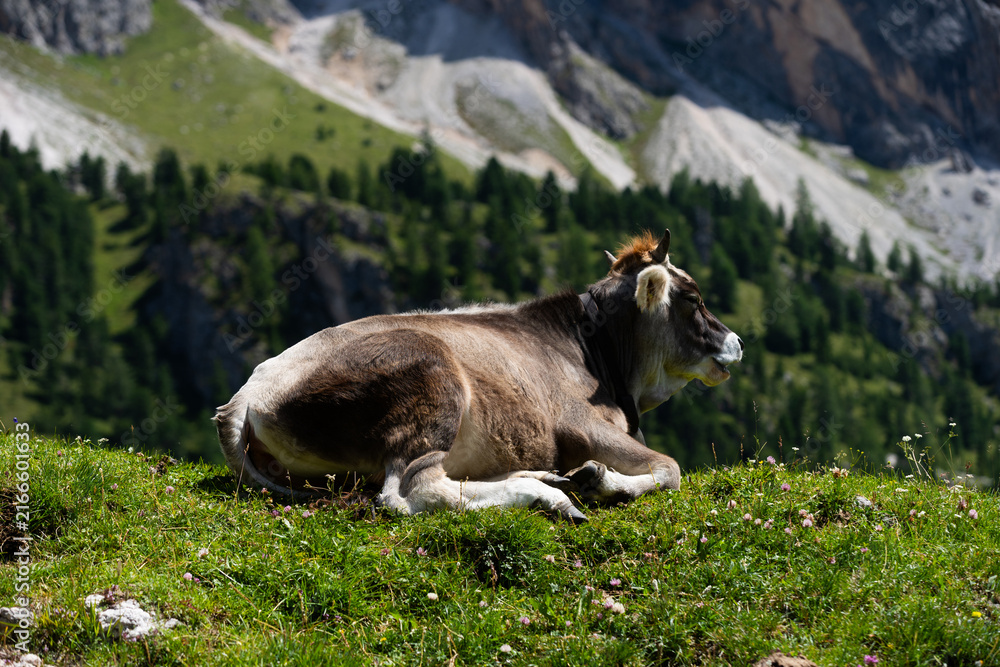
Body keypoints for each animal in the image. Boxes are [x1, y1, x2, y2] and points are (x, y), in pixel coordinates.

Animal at [215, 229, 743, 522]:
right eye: (693, 298)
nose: (736, 341)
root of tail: (247, 393)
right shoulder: (581, 423)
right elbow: (671, 468)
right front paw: (604, 481)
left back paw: (547, 476)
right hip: (431, 379)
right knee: (413, 489)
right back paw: (548, 494)